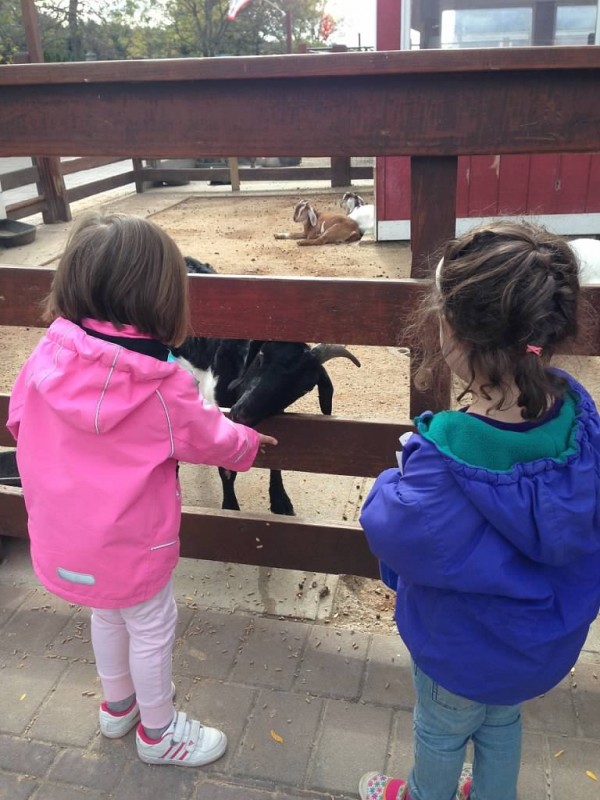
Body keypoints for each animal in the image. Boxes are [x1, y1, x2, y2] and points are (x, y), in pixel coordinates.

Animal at [173, 258, 360, 520]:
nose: (242, 414)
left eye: (304, 387)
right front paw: (230, 507)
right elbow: (227, 470)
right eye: (261, 355)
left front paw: (280, 501)